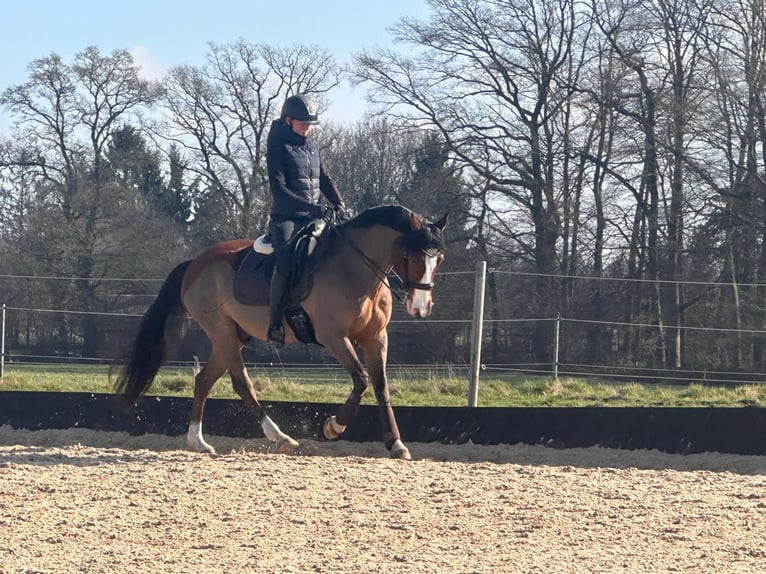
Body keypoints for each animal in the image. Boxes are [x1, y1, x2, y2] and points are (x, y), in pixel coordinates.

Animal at [114, 204, 448, 460]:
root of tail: (195, 262)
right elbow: (361, 379)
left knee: (203, 381)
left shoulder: (376, 337)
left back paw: (198, 442)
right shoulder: (333, 337)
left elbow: (381, 386)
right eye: (414, 256)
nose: (421, 307)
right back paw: (279, 437)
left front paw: (396, 443)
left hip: (231, 337)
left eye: (439, 259)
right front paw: (333, 426)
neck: (355, 269)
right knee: (242, 384)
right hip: (222, 333)